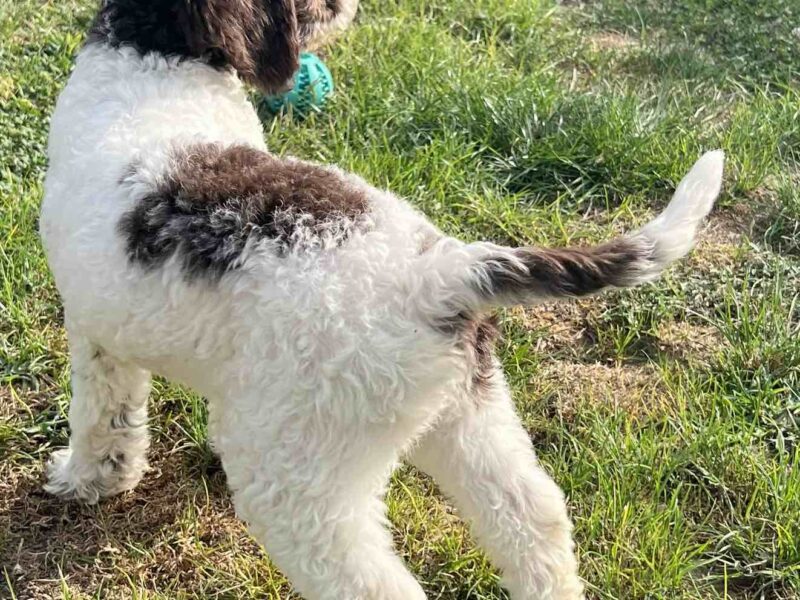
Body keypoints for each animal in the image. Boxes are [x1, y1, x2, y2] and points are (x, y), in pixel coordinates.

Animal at [39, 2, 724, 596]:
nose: (345, 6)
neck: (158, 59)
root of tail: (442, 272)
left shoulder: (94, 331)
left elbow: (102, 416)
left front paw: (85, 480)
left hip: (304, 479)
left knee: (372, 580)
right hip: (463, 411)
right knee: (534, 518)